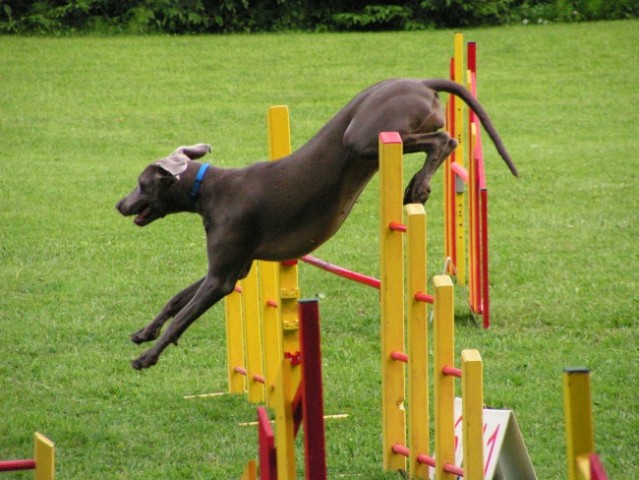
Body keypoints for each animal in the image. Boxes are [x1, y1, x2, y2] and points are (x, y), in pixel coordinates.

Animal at [117, 78, 516, 368]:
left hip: (365, 137)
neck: (208, 189)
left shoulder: (222, 278)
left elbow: (183, 316)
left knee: (443, 139)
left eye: (141, 183)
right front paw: (144, 332)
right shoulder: (234, 266)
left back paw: (418, 185)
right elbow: (175, 300)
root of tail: (418, 80)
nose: (119, 204)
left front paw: (146, 357)